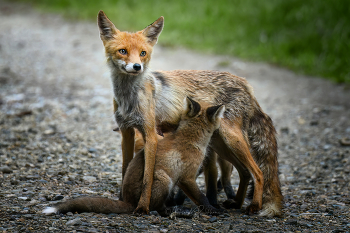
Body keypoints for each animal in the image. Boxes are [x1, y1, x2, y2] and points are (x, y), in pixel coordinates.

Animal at [43, 98, 224, 217]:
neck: (190, 138)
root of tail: (129, 202)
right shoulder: (186, 177)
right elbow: (201, 198)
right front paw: (213, 210)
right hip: (163, 179)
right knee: (157, 207)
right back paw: (171, 211)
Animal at [97, 10, 284, 216]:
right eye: (122, 51)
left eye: (142, 54)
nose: (137, 67)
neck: (129, 98)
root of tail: (246, 84)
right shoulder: (127, 132)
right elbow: (125, 170)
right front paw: (122, 200)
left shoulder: (151, 135)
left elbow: (148, 177)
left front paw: (142, 207)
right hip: (220, 144)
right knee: (244, 172)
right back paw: (236, 203)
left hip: (232, 139)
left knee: (258, 172)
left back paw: (254, 205)